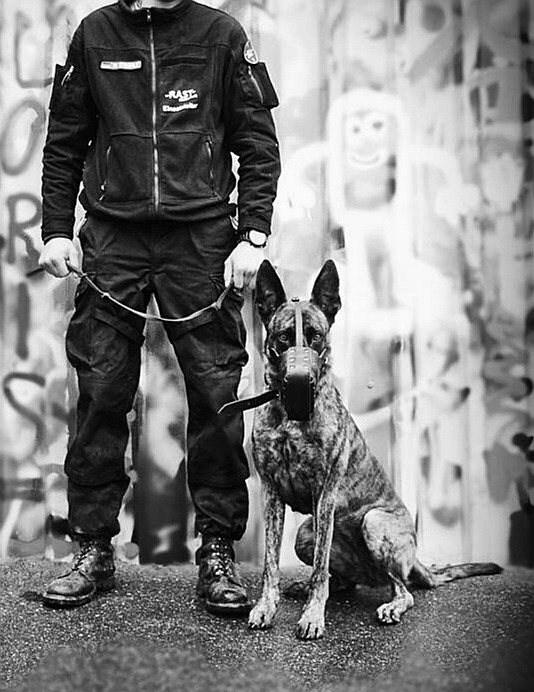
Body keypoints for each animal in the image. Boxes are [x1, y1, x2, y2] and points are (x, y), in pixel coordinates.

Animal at [248, 259, 502, 640]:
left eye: (316, 335)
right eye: (283, 337)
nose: (300, 379)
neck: (292, 413)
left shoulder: (325, 495)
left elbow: (319, 569)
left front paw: (312, 617)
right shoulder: (271, 492)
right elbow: (271, 563)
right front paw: (267, 606)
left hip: (374, 522)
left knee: (403, 590)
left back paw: (390, 605)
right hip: (306, 533)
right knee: (345, 581)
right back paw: (311, 587)